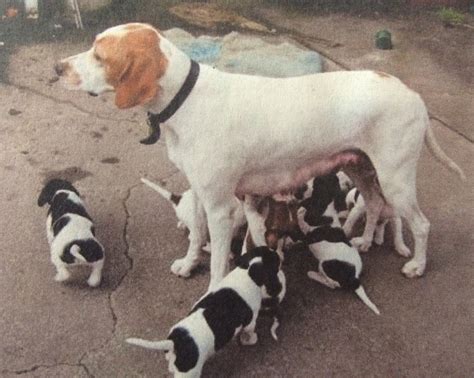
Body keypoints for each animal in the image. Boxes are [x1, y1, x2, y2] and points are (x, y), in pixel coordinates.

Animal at [53, 22, 464, 290]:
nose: (57, 67)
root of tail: (412, 93)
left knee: (421, 224)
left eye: (99, 54)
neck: (186, 98)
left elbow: (217, 262)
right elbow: (195, 235)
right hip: (362, 169)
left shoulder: (220, 208)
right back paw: (362, 241)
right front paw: (188, 264)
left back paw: (417, 265)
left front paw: (211, 290)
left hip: (395, 179)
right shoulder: (200, 195)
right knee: (376, 204)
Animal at [126, 247, 282, 376]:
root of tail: (174, 342)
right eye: (274, 259)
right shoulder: (250, 319)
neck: (247, 271)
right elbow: (250, 330)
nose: (279, 253)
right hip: (189, 373)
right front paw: (252, 339)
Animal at [300, 174, 382, 316]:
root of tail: (355, 279)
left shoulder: (308, 231)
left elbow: (302, 220)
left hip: (325, 264)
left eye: (317, 181)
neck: (325, 207)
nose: (304, 185)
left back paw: (313, 274)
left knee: (333, 284)